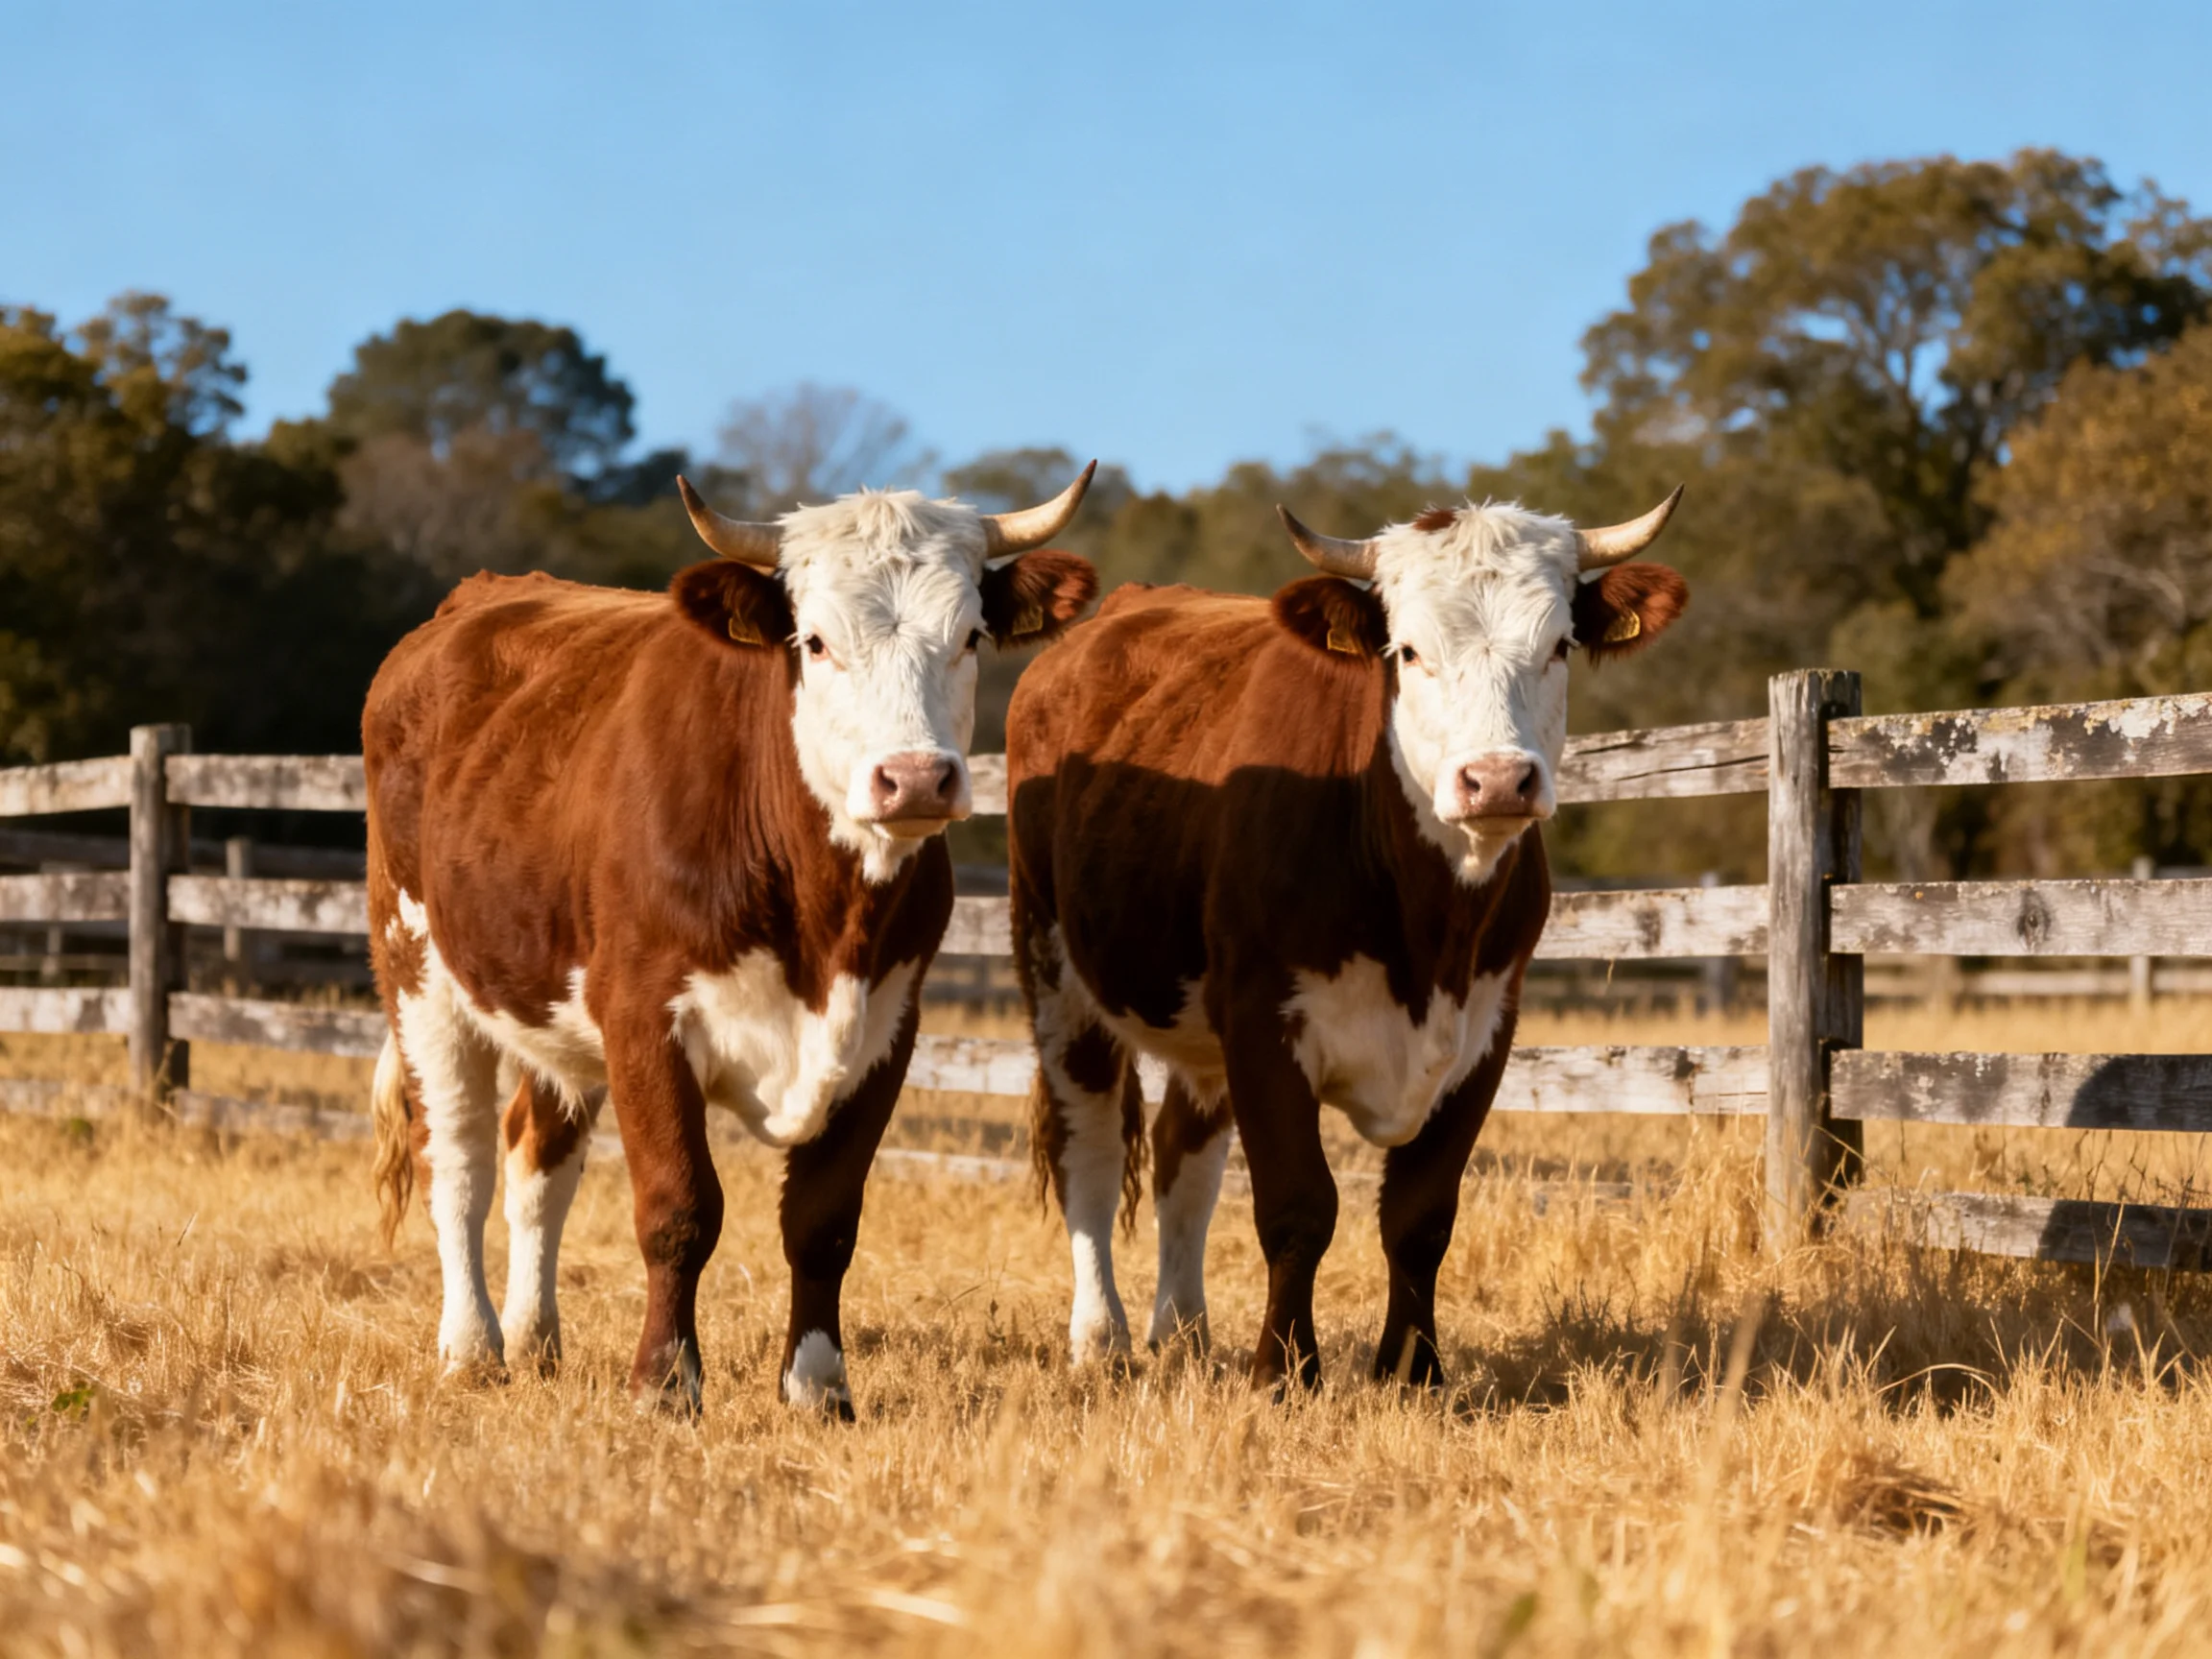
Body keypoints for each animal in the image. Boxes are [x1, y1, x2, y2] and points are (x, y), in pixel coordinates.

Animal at [365, 467, 1099, 1415]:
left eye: (970, 635)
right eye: (814, 642)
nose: (913, 779)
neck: (824, 921)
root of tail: (480, 597)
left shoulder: (886, 1031)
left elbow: (823, 1221)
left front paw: (819, 1388)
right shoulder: (645, 1019)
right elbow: (679, 1208)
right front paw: (664, 1384)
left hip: (545, 1001)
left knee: (538, 1162)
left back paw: (535, 1340)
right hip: (418, 967)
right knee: (456, 1161)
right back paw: (473, 1347)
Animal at [1005, 491, 1688, 1390]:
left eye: (1559, 645)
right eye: (1409, 650)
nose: (1497, 780)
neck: (1429, 928)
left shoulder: (1487, 1030)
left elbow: (1420, 1215)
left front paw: (1413, 1371)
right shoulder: (1264, 1020)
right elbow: (1299, 1206)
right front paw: (1285, 1372)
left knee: (1184, 1155)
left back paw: (1183, 1330)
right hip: (1055, 967)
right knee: (1086, 1145)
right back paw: (1102, 1338)